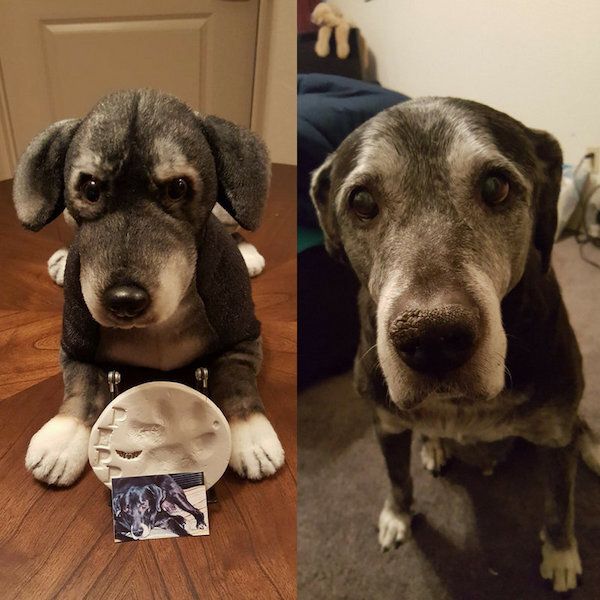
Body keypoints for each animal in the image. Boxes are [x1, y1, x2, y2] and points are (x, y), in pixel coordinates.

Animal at [14, 89, 284, 488]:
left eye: (178, 188)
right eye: (90, 189)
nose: (124, 301)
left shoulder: (242, 336)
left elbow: (237, 382)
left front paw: (252, 437)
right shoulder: (76, 346)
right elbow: (80, 391)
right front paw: (61, 440)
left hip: (228, 214)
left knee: (231, 225)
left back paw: (247, 253)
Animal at [312, 97, 596, 592]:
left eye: (496, 187)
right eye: (362, 201)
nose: (432, 337)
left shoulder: (557, 435)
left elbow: (559, 506)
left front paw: (560, 555)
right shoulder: (385, 423)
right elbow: (397, 478)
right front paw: (398, 516)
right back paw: (434, 445)